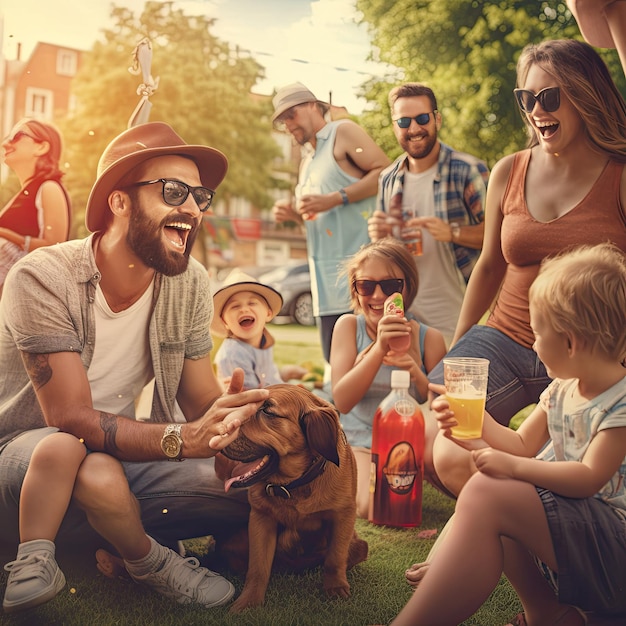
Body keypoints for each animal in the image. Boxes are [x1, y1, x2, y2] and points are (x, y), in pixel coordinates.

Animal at [214, 380, 368, 608]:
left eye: (268, 411)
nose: (220, 429)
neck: (294, 485)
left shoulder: (344, 516)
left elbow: (335, 558)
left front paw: (335, 587)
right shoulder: (261, 519)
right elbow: (258, 567)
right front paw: (248, 602)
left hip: (358, 544)